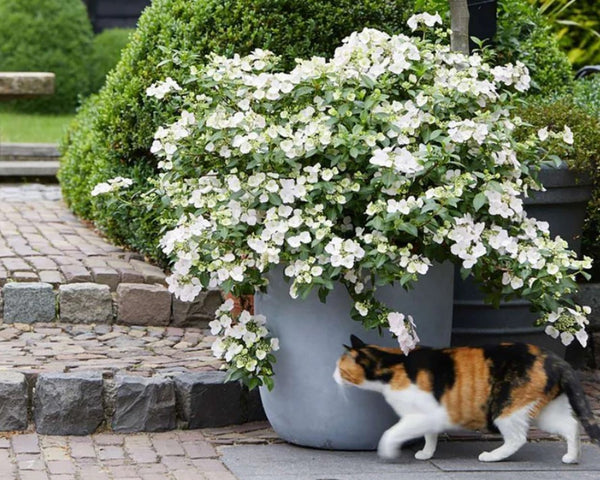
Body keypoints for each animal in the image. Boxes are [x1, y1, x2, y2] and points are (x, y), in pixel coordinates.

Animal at [332, 336, 600, 464]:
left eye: (340, 369)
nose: (332, 375)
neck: (394, 363)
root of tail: (555, 359)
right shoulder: (429, 416)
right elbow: (430, 435)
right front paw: (426, 453)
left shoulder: (428, 413)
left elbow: (392, 432)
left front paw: (387, 451)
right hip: (545, 412)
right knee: (571, 426)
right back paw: (572, 457)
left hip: (507, 409)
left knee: (517, 438)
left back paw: (491, 456)